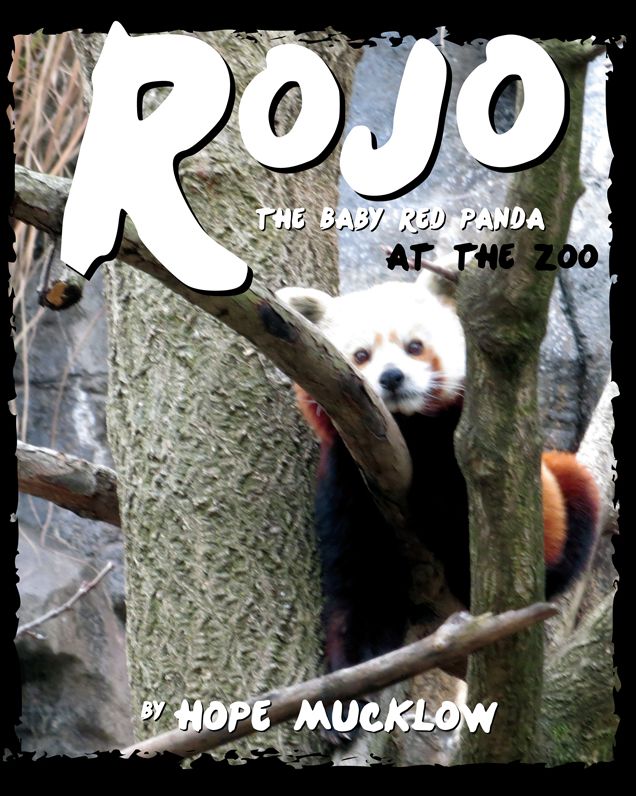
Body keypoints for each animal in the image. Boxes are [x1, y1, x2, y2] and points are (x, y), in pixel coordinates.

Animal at [277, 271, 600, 685]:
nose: (392, 377)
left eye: (414, 347)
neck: (408, 434)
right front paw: (354, 666)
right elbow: (360, 577)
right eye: (362, 355)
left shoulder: (463, 453)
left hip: (561, 488)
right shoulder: (348, 479)